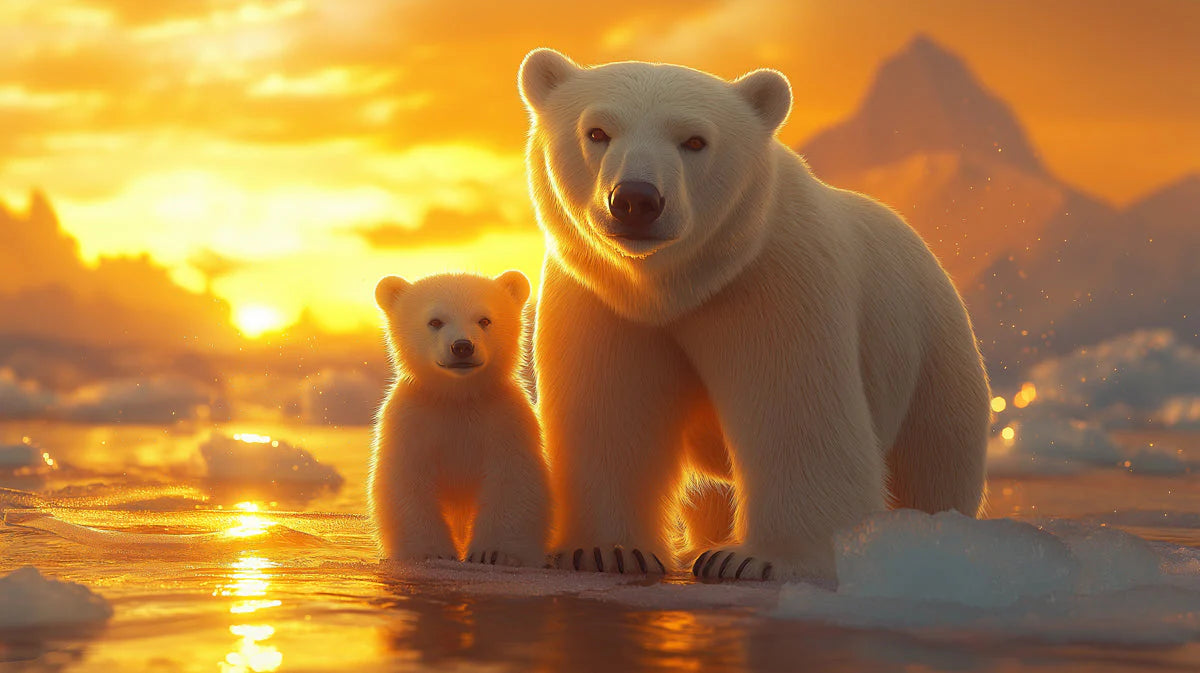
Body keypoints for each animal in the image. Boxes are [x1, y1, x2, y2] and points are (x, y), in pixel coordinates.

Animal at [369, 271, 550, 567]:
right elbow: (407, 480)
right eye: (435, 321)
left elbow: (513, 480)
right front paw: (431, 552)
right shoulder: (412, 421)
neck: (458, 398)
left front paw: (494, 553)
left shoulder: (505, 421)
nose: (462, 347)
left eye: (484, 319)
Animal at [518, 49, 990, 581]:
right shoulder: (602, 300)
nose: (636, 200)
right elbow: (610, 410)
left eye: (694, 140)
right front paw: (607, 551)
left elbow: (793, 409)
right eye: (597, 132)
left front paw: (753, 560)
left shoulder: (772, 282)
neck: (675, 287)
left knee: (933, 463)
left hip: (929, 353)